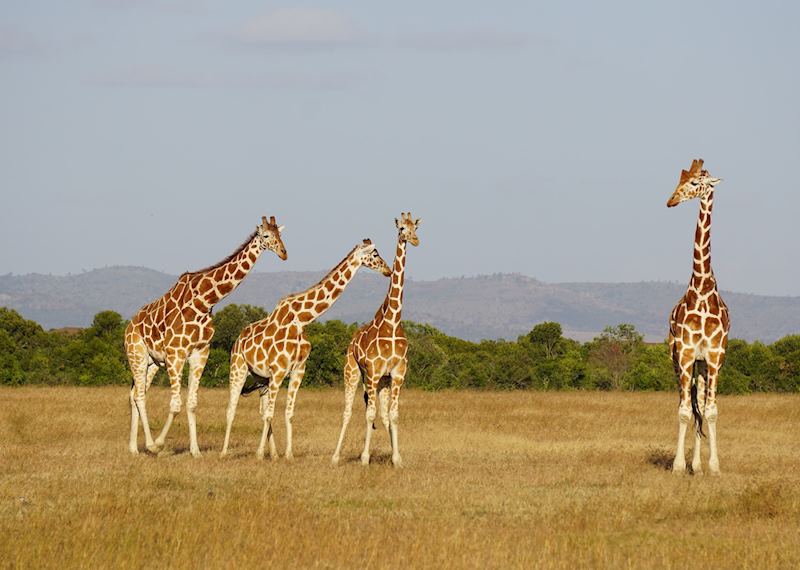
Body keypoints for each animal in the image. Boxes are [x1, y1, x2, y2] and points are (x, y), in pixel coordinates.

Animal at [125, 216, 287, 457]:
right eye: (266, 235)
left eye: (281, 235)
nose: (284, 253)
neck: (205, 300)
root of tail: (128, 327)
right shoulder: (176, 353)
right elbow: (175, 404)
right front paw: (160, 444)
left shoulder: (200, 352)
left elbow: (192, 403)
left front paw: (195, 451)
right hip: (137, 354)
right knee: (140, 396)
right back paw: (150, 445)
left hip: (153, 362)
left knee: (135, 392)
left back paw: (134, 448)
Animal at [220, 239, 392, 460]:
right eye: (375, 254)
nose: (388, 270)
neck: (301, 319)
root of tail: (237, 340)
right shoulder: (278, 371)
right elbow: (270, 414)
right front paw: (259, 454)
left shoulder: (297, 370)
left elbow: (287, 413)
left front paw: (288, 455)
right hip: (239, 368)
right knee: (231, 409)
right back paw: (225, 452)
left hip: (261, 379)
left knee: (262, 411)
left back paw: (273, 453)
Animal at [332, 213, 421, 468]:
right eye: (401, 229)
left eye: (415, 228)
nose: (415, 240)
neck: (392, 322)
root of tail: (351, 340)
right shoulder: (371, 372)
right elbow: (368, 414)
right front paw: (364, 458)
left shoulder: (397, 374)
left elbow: (393, 415)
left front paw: (397, 459)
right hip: (353, 372)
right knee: (348, 412)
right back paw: (335, 457)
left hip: (382, 382)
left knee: (382, 414)